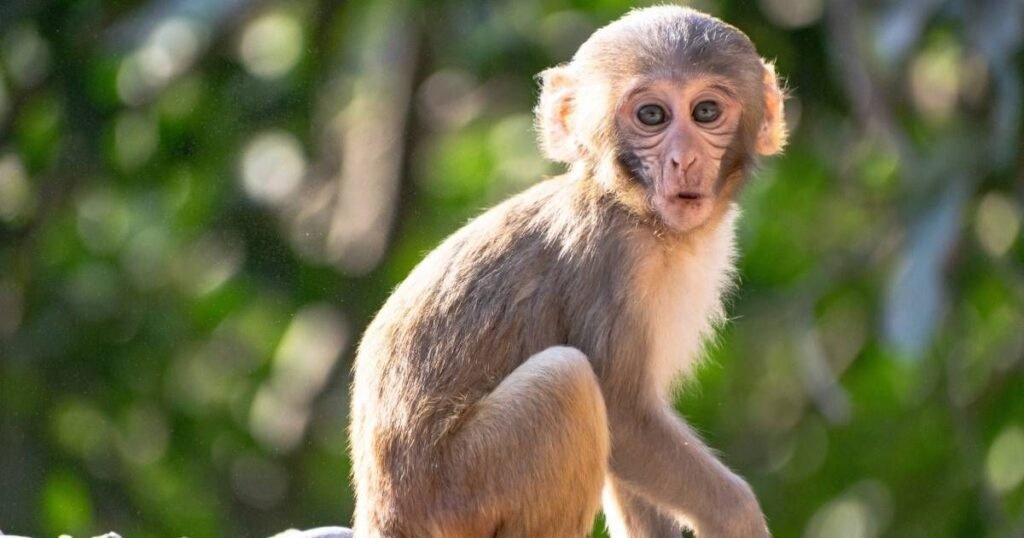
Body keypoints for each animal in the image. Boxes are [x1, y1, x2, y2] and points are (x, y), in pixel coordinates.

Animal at [349, 6, 786, 538]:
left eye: (705, 112)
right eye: (652, 116)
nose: (684, 159)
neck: (639, 214)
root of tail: (381, 516)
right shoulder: (610, 259)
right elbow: (623, 413)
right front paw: (736, 514)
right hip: (455, 492)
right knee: (567, 381)